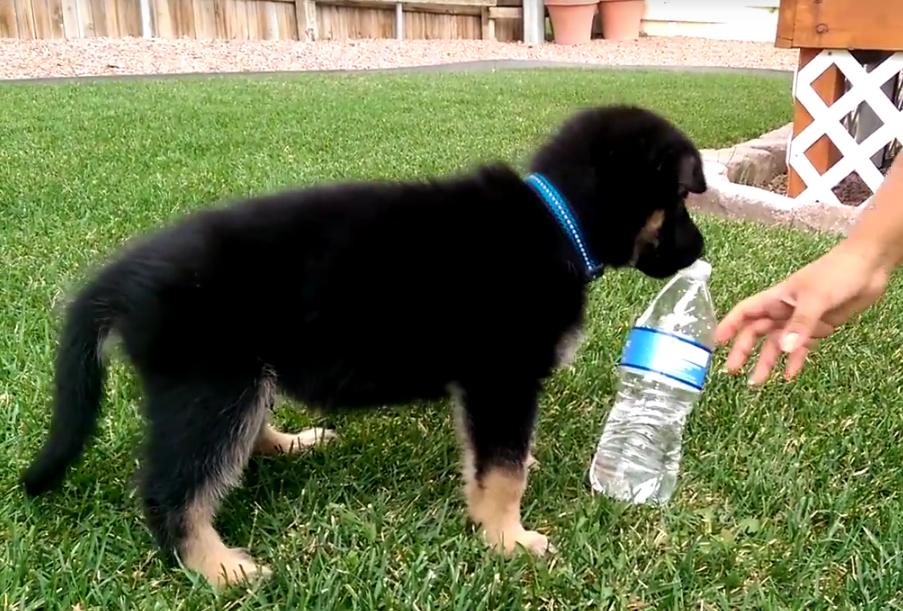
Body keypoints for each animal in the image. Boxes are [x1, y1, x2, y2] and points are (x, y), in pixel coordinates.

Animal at [21, 104, 708, 588]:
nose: (700, 250)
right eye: (679, 199)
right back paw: (219, 568)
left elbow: (494, 453)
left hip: (240, 378)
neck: (559, 222)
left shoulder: (485, 389)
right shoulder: (501, 378)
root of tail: (121, 280)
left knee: (238, 438)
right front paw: (507, 538)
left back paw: (288, 444)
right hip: (212, 382)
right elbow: (502, 469)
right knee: (173, 490)